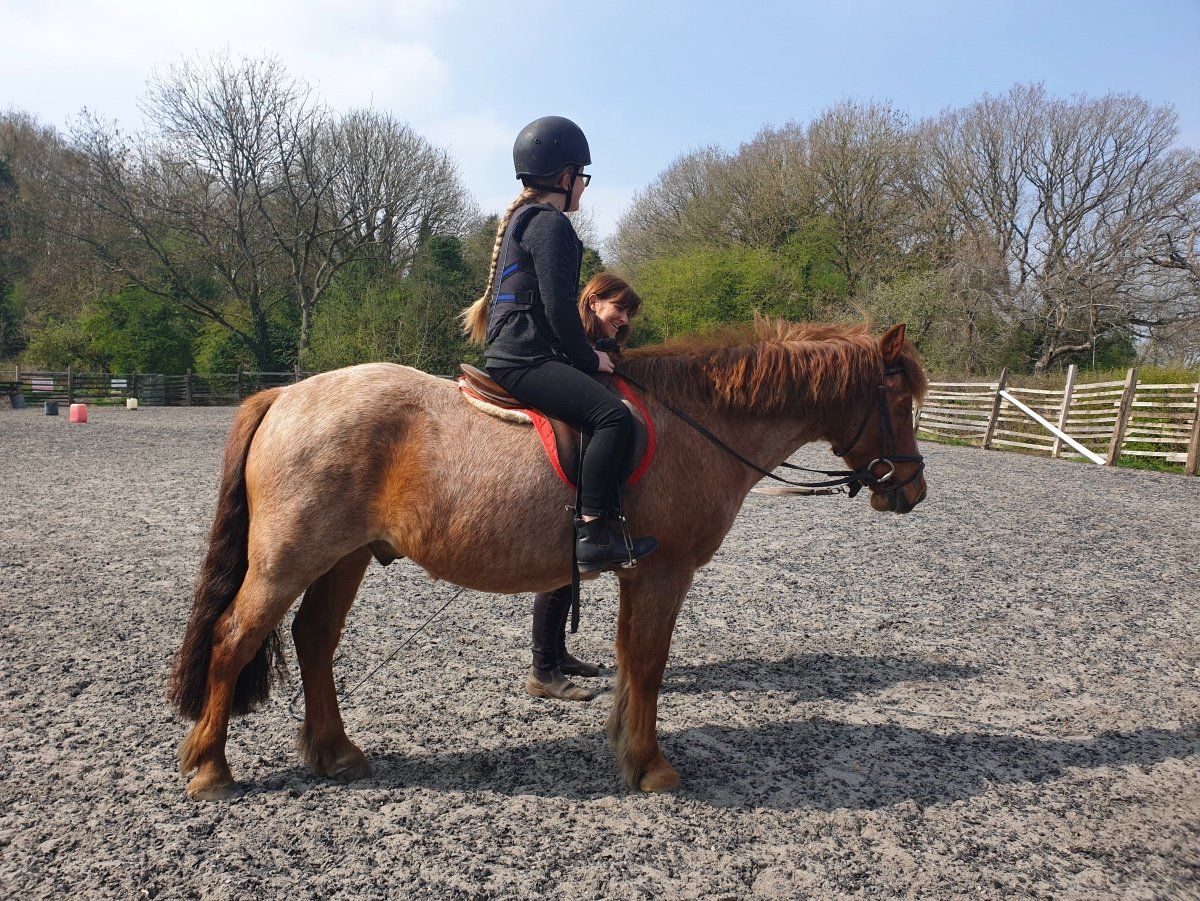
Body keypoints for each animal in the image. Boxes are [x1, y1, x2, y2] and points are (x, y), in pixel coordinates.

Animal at [167, 318, 928, 800]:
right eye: (899, 399)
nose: (912, 489)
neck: (698, 422)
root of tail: (286, 394)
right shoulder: (666, 571)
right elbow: (650, 660)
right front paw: (651, 765)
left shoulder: (637, 574)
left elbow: (629, 659)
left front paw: (624, 745)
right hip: (287, 559)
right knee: (235, 638)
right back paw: (210, 768)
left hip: (343, 556)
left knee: (314, 640)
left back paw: (334, 752)